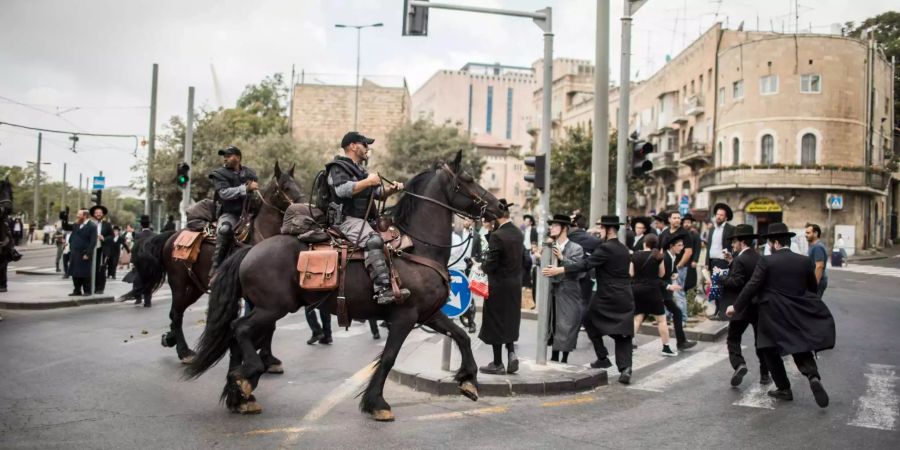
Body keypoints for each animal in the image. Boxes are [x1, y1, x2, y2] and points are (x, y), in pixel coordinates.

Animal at [119, 162, 304, 366]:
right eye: (286, 187)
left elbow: (270, 324)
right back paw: (183, 351)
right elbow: (267, 324)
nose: (304, 206)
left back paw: (170, 339)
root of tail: (172, 236)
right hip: (179, 284)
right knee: (176, 314)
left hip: (195, 287)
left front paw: (268, 358)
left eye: (297, 184)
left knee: (176, 313)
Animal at [186, 151, 502, 418]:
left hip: (265, 309)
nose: (501, 206)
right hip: (271, 308)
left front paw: (469, 380)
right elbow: (388, 358)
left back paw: (241, 395)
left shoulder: (429, 314)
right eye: (468, 179)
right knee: (239, 330)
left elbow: (461, 336)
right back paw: (246, 377)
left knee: (236, 336)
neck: (416, 247)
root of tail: (249, 250)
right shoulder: (404, 316)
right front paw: (377, 403)